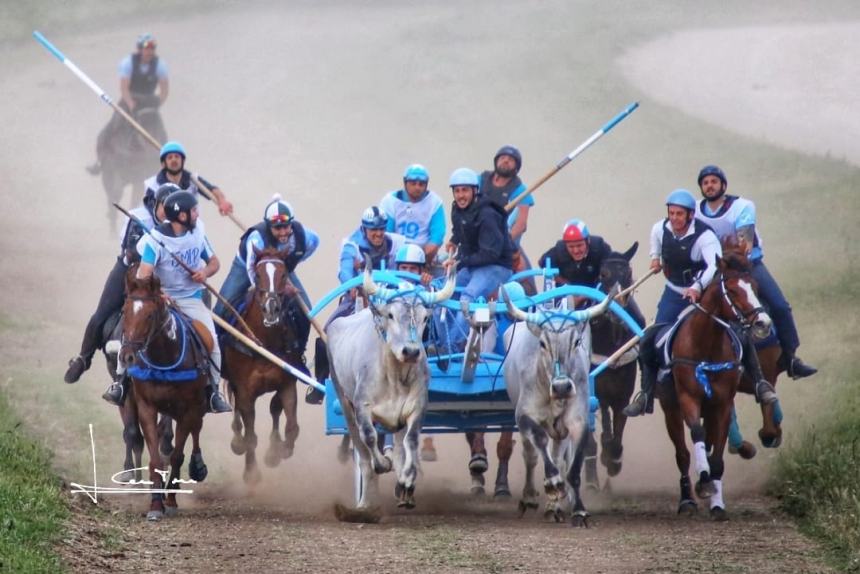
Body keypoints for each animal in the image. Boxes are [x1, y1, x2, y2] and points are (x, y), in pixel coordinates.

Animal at [119, 274, 208, 520]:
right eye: (124, 310)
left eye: (150, 315)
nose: (127, 356)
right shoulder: (147, 406)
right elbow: (156, 457)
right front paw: (156, 504)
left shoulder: (188, 409)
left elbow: (177, 455)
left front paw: (170, 498)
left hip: (197, 407)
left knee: (195, 433)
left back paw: (197, 466)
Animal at [223, 248, 300, 486]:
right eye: (257, 275)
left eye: (284, 275)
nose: (271, 308)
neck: (264, 342)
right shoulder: (245, 389)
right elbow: (250, 434)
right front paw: (251, 473)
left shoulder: (287, 383)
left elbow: (291, 426)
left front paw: (278, 452)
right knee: (237, 411)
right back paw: (236, 441)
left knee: (274, 408)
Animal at [660, 250, 772, 524]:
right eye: (731, 290)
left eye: (754, 286)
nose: (763, 323)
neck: (706, 348)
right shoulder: (688, 398)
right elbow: (697, 437)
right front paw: (702, 481)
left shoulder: (722, 405)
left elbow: (718, 459)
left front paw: (717, 504)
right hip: (671, 411)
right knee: (682, 453)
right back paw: (688, 500)